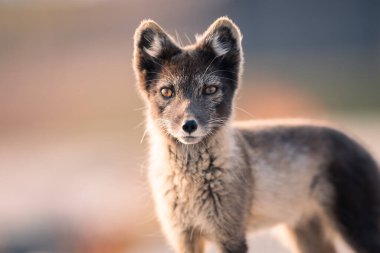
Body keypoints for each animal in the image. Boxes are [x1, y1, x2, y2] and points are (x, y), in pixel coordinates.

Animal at [131, 16, 380, 252]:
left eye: (210, 89)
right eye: (167, 92)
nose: (189, 125)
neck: (189, 183)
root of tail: (359, 144)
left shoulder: (231, 236)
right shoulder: (183, 237)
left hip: (358, 230)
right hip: (305, 234)